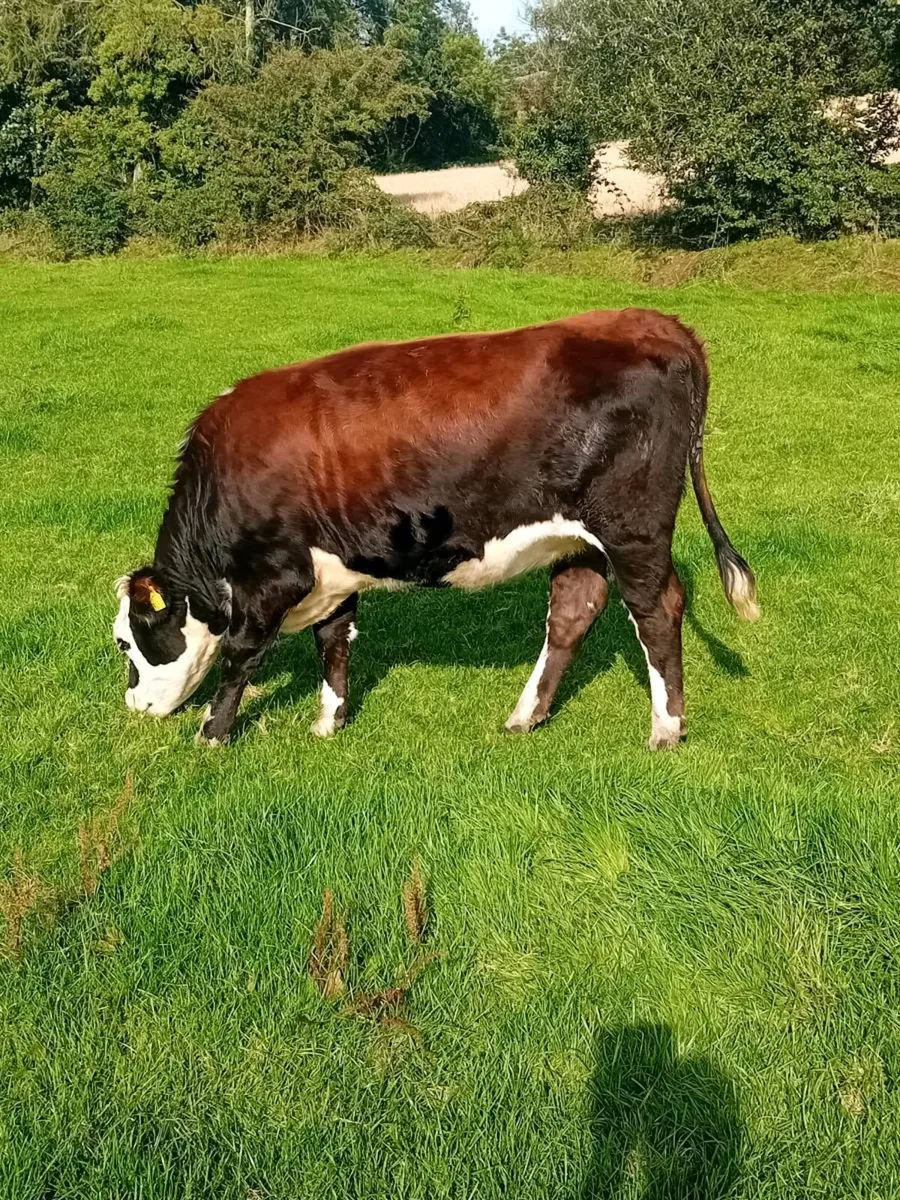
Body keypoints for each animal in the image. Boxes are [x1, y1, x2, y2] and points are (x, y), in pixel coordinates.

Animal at [113, 308, 759, 749]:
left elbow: (240, 656)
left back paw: (666, 728)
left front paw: (211, 734)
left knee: (657, 609)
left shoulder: (271, 578)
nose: (134, 705)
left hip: (633, 527)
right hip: (578, 538)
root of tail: (656, 321)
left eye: (126, 641)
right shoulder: (331, 572)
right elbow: (334, 641)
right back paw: (526, 715)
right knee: (574, 610)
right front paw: (329, 723)